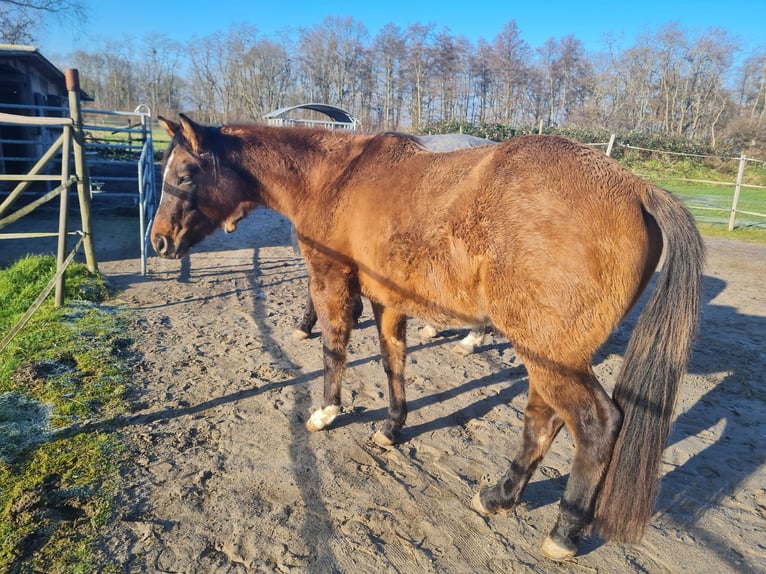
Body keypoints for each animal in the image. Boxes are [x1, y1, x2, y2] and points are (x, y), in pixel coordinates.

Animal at [153, 116, 704, 564]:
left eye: (185, 174)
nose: (159, 241)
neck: (335, 178)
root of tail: (636, 188)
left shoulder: (333, 284)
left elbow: (334, 350)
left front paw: (326, 411)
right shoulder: (388, 300)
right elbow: (391, 361)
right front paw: (393, 426)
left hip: (550, 355)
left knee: (594, 424)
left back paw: (564, 530)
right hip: (545, 354)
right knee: (541, 420)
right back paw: (501, 496)